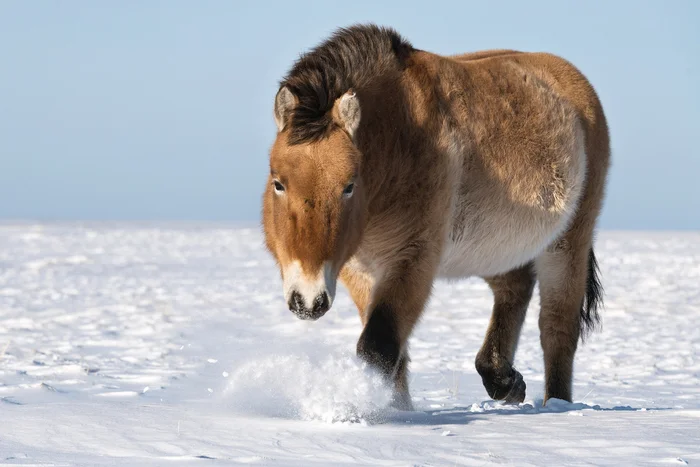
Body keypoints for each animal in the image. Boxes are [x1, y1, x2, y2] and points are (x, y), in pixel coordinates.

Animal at [262, 23, 608, 410]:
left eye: (348, 186)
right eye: (278, 183)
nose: (308, 301)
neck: (398, 139)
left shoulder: (412, 259)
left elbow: (379, 346)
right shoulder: (358, 270)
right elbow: (393, 352)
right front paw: (398, 408)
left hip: (568, 243)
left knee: (557, 328)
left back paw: (557, 405)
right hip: (492, 248)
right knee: (514, 286)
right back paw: (504, 381)